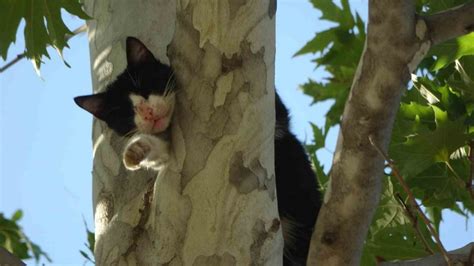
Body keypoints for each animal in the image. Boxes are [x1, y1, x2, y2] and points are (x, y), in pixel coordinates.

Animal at [75, 37, 322, 266]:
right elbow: (163, 152)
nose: (147, 113)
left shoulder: (276, 113)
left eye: (145, 86)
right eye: (125, 112)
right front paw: (137, 150)